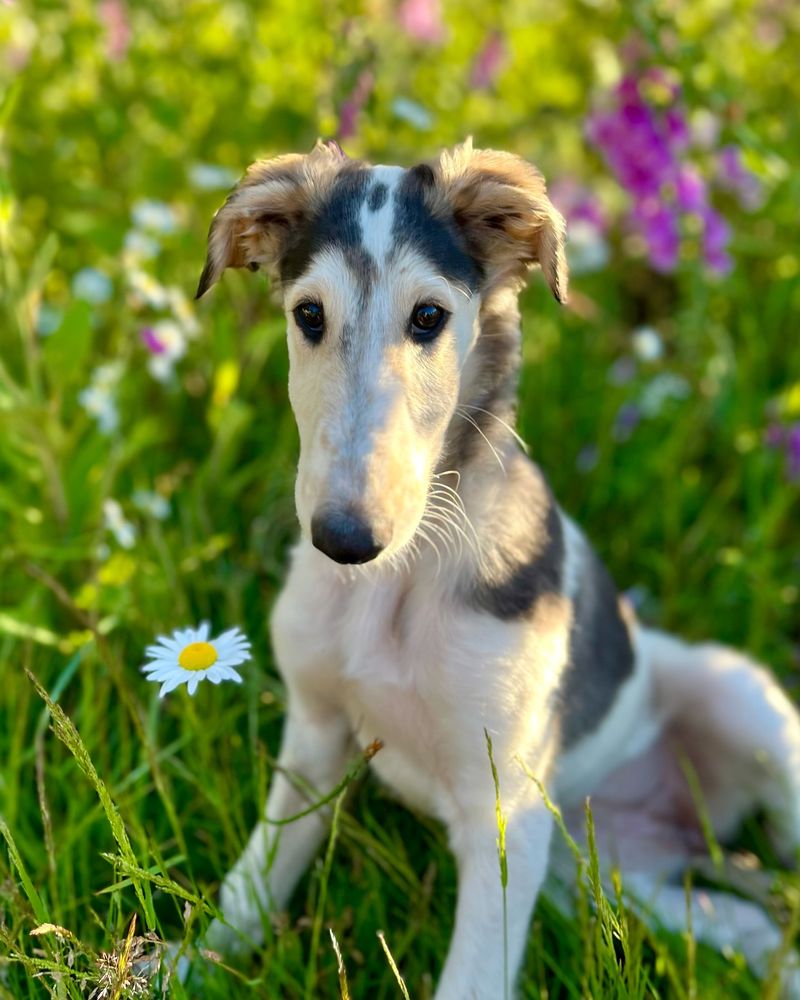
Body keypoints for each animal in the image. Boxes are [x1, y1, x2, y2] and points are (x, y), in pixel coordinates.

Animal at [195, 143, 800, 1000]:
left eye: (429, 317)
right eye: (309, 315)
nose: (344, 539)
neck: (397, 582)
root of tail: (689, 832)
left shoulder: (503, 814)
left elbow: (471, 977)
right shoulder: (312, 737)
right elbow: (249, 887)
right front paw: (181, 965)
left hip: (747, 708)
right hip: (617, 884)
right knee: (758, 930)